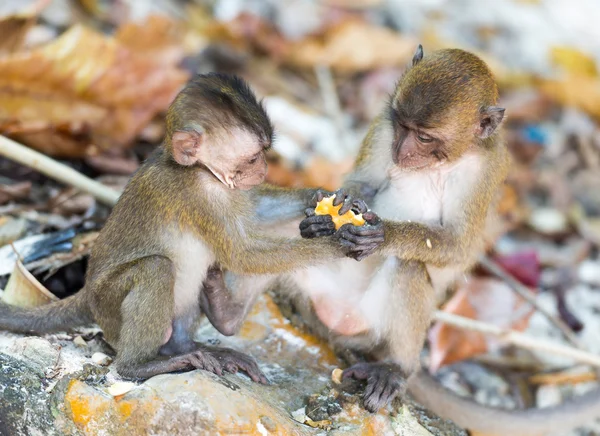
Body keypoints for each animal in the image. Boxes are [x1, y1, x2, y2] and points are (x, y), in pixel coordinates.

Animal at [0, 73, 366, 384]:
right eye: (252, 158)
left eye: (264, 154)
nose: (263, 169)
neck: (200, 170)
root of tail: (87, 295)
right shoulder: (199, 195)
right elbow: (243, 255)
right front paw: (336, 245)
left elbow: (257, 213)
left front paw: (320, 199)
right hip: (108, 306)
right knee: (157, 269)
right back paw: (140, 365)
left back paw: (197, 339)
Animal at [196, 48, 600, 436]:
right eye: (402, 125)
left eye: (424, 137)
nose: (401, 150)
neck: (439, 162)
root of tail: (338, 318)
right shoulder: (382, 128)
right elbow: (360, 182)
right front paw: (339, 205)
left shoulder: (484, 172)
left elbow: (458, 246)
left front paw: (385, 234)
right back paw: (227, 312)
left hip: (373, 327)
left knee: (409, 266)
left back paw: (395, 369)